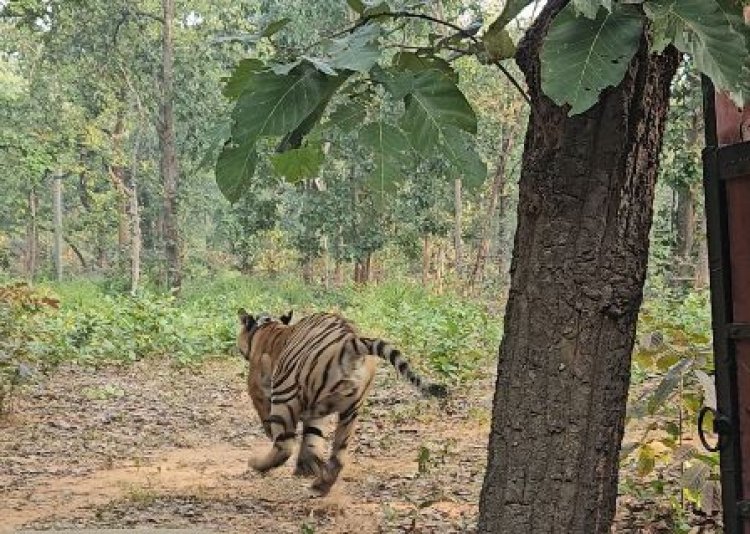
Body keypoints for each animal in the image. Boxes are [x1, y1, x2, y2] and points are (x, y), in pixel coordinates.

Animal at [236, 310, 446, 498]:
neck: (267, 326)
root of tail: (350, 341)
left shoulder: (257, 388)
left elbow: (267, 416)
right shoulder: (316, 413)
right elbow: (312, 439)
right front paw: (306, 468)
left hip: (284, 394)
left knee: (285, 446)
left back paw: (256, 463)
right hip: (351, 410)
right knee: (338, 457)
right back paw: (319, 486)